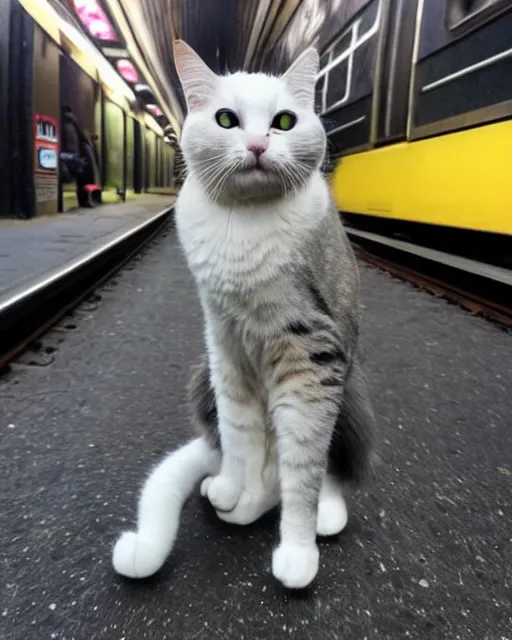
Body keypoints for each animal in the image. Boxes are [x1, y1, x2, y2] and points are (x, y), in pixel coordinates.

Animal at [113, 40, 376, 592]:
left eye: (284, 121)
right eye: (227, 119)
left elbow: (305, 455)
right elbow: (237, 431)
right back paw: (232, 494)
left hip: (351, 383)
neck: (243, 222)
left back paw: (322, 512)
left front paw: (297, 551)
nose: (257, 144)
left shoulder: (311, 350)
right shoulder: (224, 341)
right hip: (201, 377)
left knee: (325, 464)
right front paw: (232, 487)